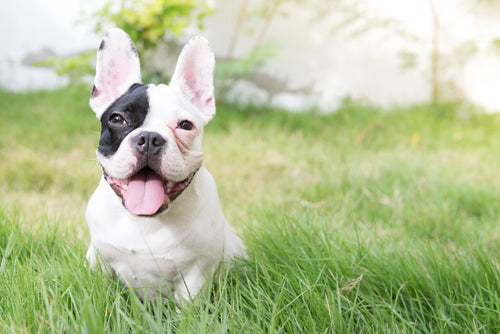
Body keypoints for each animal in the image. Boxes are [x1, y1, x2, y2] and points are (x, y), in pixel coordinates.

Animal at [86, 27, 246, 302]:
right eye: (117, 119)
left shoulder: (196, 275)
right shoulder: (99, 261)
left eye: (185, 125)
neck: (145, 221)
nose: (149, 138)